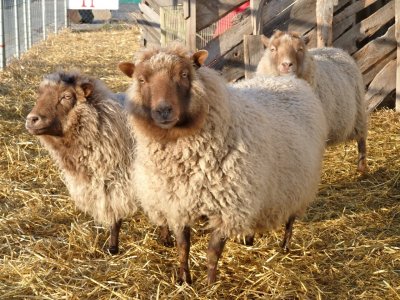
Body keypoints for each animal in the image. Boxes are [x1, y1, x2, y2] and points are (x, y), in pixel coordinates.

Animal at [25, 71, 172, 254]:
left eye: (66, 96)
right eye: (40, 95)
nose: (31, 120)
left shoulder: (117, 181)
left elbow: (115, 216)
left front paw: (113, 247)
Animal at [119, 44, 328, 284]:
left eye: (184, 74)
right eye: (141, 80)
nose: (163, 110)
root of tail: (289, 79)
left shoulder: (228, 207)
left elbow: (213, 252)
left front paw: (210, 283)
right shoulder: (178, 204)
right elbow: (183, 246)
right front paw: (184, 279)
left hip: (300, 183)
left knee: (291, 221)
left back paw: (284, 246)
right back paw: (248, 240)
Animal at [256, 29, 368, 173]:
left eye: (300, 49)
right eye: (272, 49)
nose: (287, 64)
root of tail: (336, 49)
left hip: (359, 112)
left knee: (362, 138)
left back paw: (362, 167)